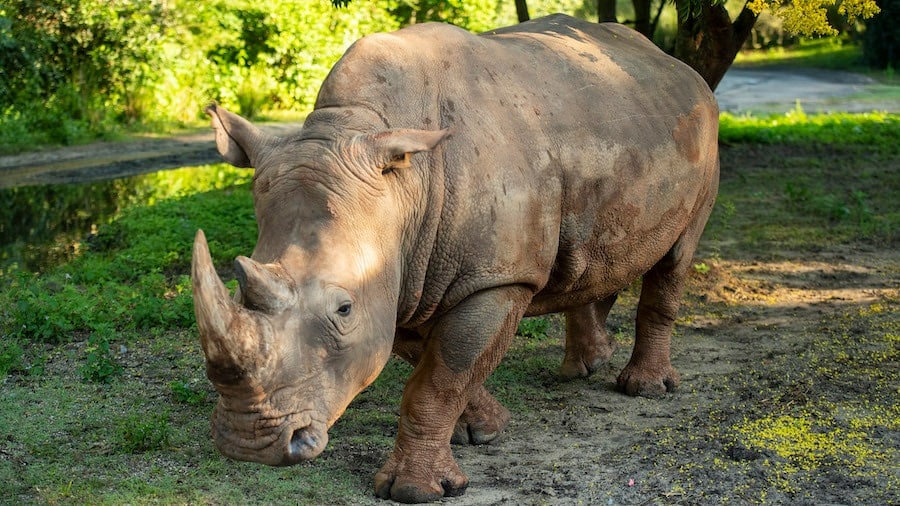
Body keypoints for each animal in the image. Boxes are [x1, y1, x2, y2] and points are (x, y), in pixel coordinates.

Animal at [191, 13, 718, 503]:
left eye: (343, 309)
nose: (249, 444)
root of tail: (677, 66)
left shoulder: (497, 278)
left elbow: (439, 378)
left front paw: (414, 490)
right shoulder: (403, 275)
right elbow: (435, 363)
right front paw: (483, 429)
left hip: (702, 130)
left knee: (676, 257)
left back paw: (644, 388)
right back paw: (585, 366)